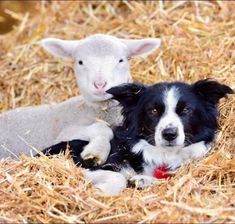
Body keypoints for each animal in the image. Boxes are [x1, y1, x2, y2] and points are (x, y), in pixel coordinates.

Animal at [0, 33, 162, 164]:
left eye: (121, 60)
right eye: (80, 62)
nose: (99, 84)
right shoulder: (65, 132)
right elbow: (102, 128)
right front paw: (96, 152)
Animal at [42, 79, 233, 195]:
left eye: (186, 110)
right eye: (153, 110)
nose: (169, 134)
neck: (163, 156)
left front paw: (143, 180)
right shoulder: (82, 163)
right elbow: (118, 177)